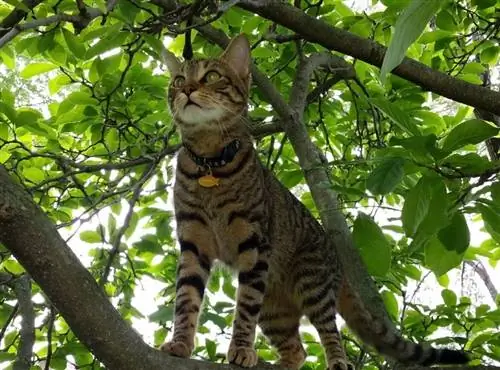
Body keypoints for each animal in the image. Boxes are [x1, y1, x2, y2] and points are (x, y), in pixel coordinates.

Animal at [158, 33, 470, 368]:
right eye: (178, 80)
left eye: (212, 76)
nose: (187, 89)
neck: (210, 164)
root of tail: (339, 262)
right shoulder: (193, 244)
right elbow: (186, 300)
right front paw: (180, 343)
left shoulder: (255, 245)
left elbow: (244, 309)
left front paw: (241, 347)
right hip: (274, 310)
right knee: (297, 350)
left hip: (312, 284)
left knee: (329, 331)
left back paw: (337, 361)